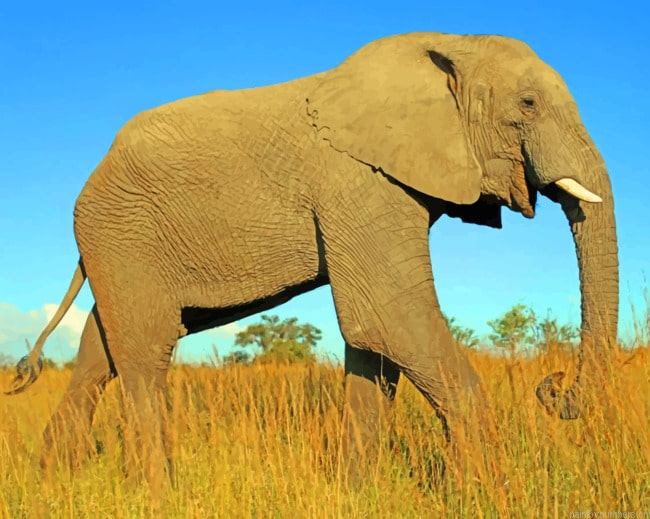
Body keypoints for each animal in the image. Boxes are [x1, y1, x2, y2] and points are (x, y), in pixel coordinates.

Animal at [7, 32, 618, 483]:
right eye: (528, 105)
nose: (553, 385)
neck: (446, 44)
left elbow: (375, 343)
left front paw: (357, 491)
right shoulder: (357, 181)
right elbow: (387, 318)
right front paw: (482, 493)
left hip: (123, 243)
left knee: (101, 347)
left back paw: (54, 480)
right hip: (120, 231)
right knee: (145, 350)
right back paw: (158, 491)